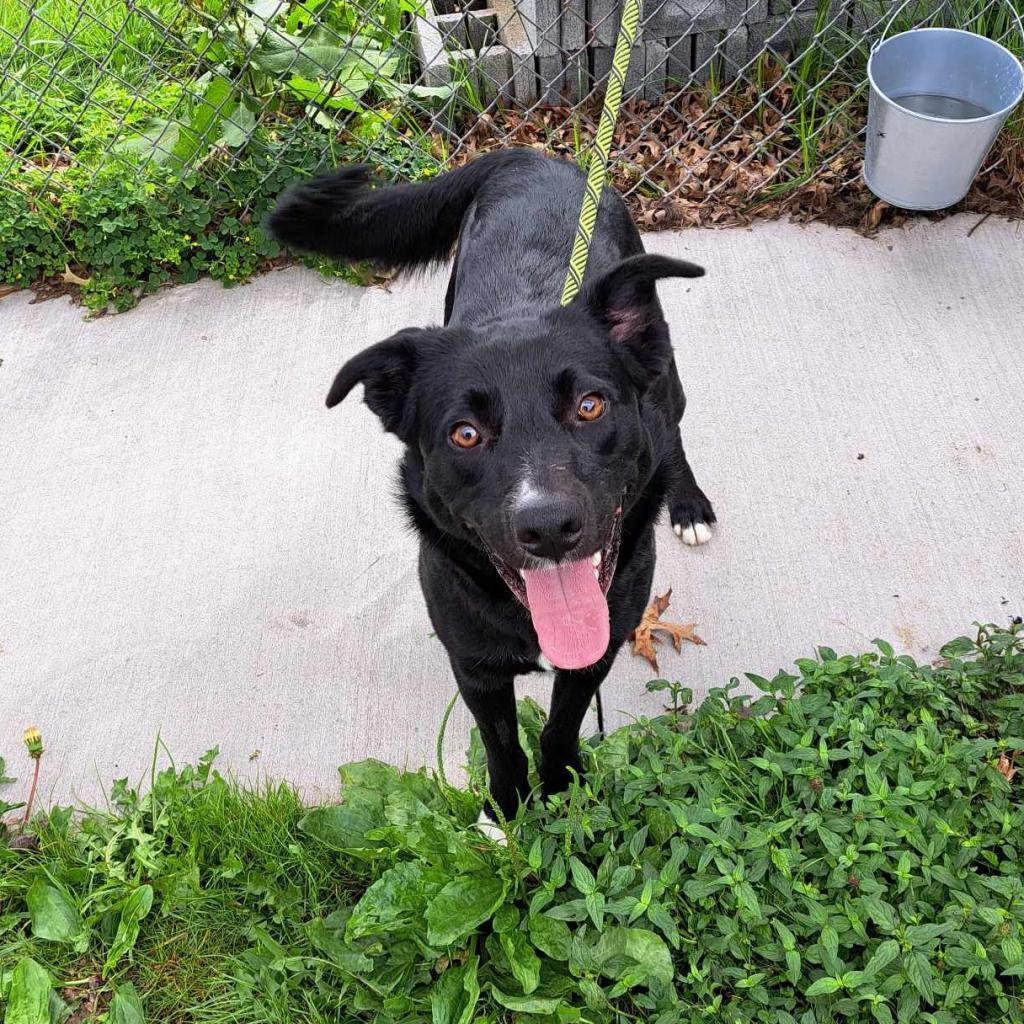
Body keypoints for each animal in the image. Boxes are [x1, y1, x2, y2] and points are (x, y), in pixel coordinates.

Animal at [268, 149, 712, 823]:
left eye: (589, 406)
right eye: (466, 434)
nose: (548, 528)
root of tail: (533, 156)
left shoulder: (599, 651)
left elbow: (559, 726)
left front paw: (558, 790)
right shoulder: (473, 665)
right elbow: (501, 742)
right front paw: (505, 813)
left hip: (664, 369)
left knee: (673, 421)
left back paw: (688, 504)